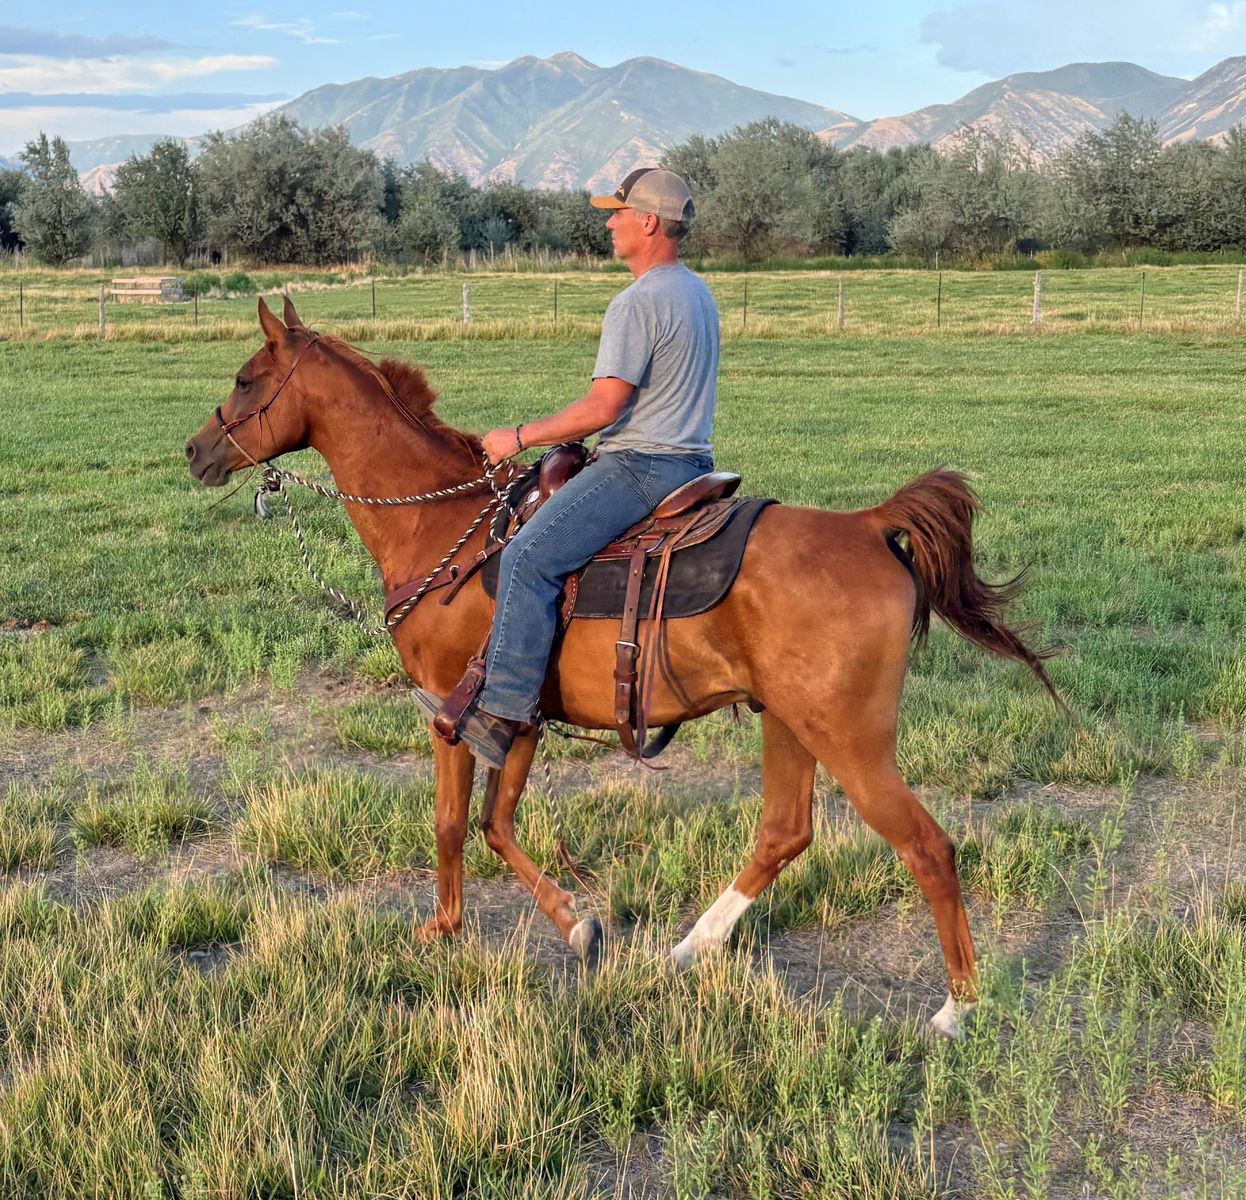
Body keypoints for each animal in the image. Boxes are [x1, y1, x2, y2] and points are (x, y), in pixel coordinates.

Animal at [186, 297, 1060, 1039]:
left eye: (245, 378)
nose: (194, 451)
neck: (445, 529)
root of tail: (869, 525)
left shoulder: (461, 712)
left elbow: (460, 824)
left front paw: (471, 927)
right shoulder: (520, 721)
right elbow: (492, 824)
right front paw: (555, 927)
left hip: (851, 739)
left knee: (927, 848)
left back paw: (955, 1010)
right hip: (789, 721)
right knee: (785, 832)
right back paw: (690, 948)